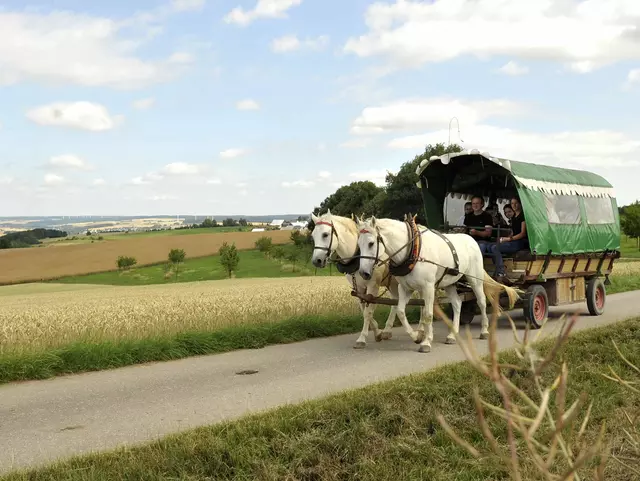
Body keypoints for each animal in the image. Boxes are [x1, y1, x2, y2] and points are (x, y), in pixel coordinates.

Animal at [308, 208, 400, 346]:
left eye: (325, 234)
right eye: (313, 236)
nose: (316, 261)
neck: (358, 255)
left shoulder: (373, 286)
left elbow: (368, 311)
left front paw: (362, 338)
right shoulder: (359, 288)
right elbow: (364, 310)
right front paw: (377, 332)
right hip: (393, 283)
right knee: (396, 302)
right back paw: (387, 330)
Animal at [356, 214, 520, 352]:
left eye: (371, 243)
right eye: (359, 244)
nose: (363, 273)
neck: (413, 251)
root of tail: (472, 240)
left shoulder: (428, 287)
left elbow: (428, 314)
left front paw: (426, 342)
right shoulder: (405, 288)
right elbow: (401, 312)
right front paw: (417, 337)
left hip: (474, 279)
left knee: (481, 301)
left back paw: (484, 331)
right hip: (450, 284)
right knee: (457, 303)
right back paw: (452, 335)